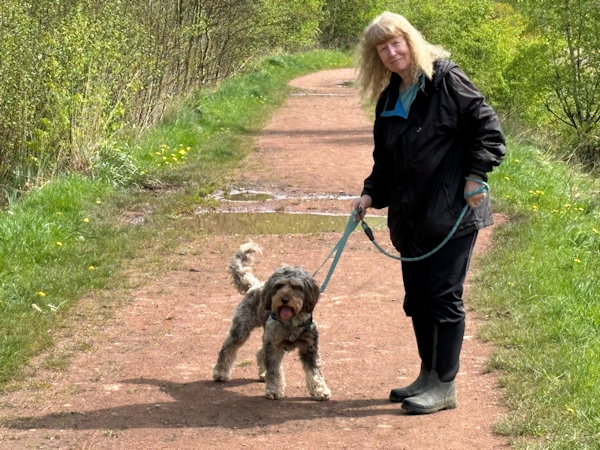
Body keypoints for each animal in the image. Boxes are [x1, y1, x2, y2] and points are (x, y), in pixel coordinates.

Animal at [213, 243, 330, 400]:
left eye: (297, 287)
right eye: (279, 285)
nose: (285, 299)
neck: (290, 323)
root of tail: (254, 286)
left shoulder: (309, 346)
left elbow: (314, 372)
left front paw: (320, 390)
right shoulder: (274, 346)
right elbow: (274, 370)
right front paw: (274, 390)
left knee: (260, 352)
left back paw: (263, 373)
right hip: (241, 330)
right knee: (227, 349)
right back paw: (220, 373)